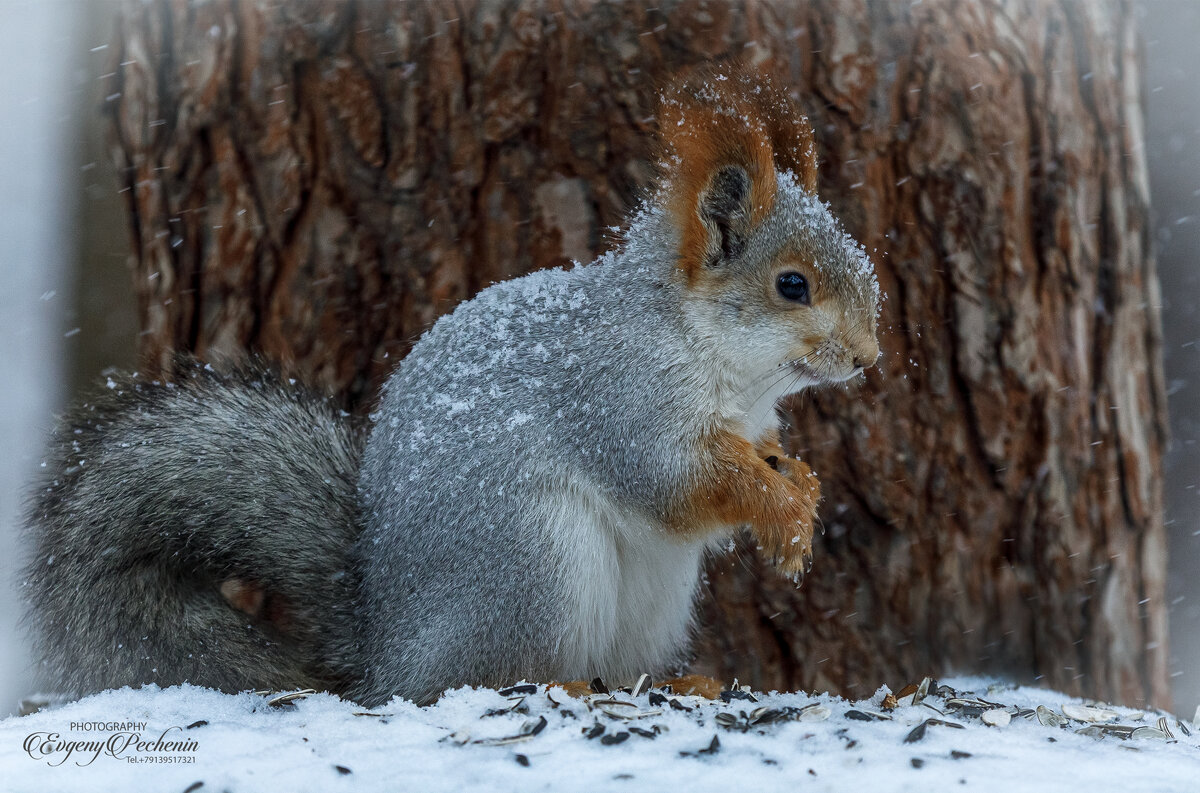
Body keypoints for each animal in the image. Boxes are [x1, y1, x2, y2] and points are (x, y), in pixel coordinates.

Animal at [18, 63, 883, 705]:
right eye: (793, 285)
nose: (869, 357)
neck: (722, 362)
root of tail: (387, 653)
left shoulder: (752, 424)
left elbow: (762, 460)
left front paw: (802, 494)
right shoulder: (620, 398)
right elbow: (675, 482)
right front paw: (781, 513)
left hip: (647, 597)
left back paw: (678, 683)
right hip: (533, 565)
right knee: (481, 677)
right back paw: (563, 684)